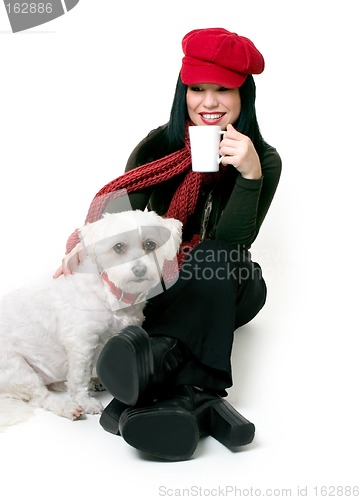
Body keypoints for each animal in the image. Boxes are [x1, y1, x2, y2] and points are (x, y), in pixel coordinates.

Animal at [0, 209, 180, 428]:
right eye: (118, 247)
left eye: (151, 244)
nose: (139, 270)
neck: (112, 292)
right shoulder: (81, 342)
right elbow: (80, 377)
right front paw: (85, 402)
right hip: (16, 368)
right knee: (41, 397)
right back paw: (67, 407)